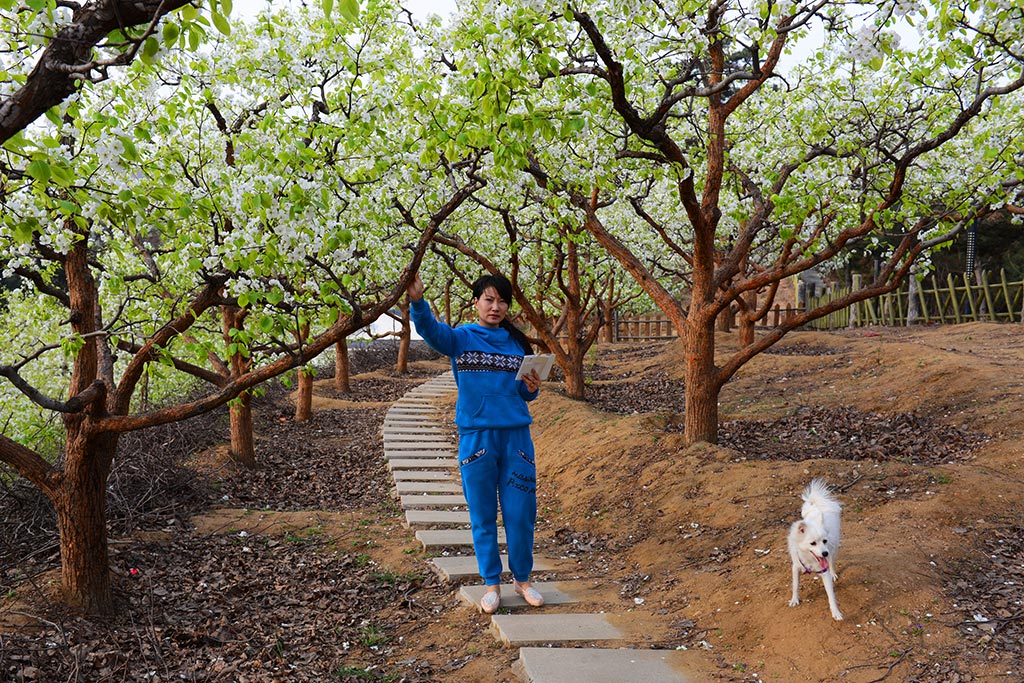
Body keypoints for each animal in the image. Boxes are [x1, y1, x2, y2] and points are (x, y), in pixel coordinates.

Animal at [786, 479, 843, 622]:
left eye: (824, 541)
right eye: (812, 543)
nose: (824, 553)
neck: (810, 560)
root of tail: (818, 504)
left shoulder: (824, 571)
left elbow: (831, 595)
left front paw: (835, 612)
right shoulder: (795, 567)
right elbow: (795, 585)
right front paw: (794, 600)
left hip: (833, 547)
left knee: (832, 561)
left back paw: (834, 572)